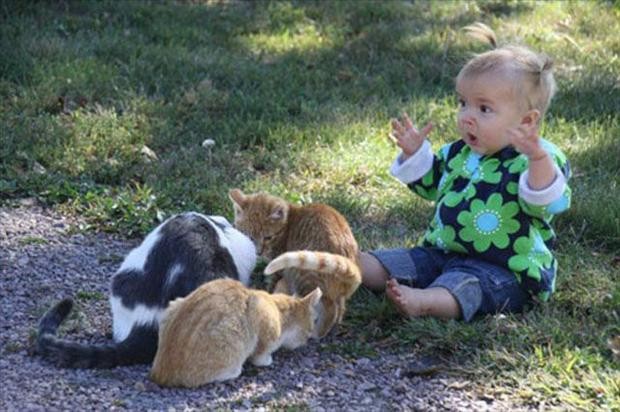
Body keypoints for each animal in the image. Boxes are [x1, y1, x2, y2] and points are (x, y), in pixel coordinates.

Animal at [149, 278, 320, 388]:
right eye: (310, 329)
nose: (307, 341)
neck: (277, 309)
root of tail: (160, 374)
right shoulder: (261, 316)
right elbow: (260, 354)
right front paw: (266, 360)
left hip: (172, 306)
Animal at [228, 188, 364, 336]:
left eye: (268, 237)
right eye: (249, 236)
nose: (258, 252)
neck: (287, 225)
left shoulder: (279, 269)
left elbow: (272, 283)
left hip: (305, 276)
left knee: (329, 308)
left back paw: (316, 332)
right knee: (340, 307)